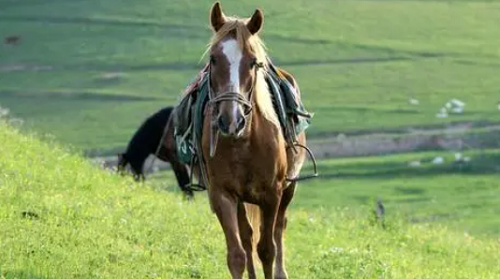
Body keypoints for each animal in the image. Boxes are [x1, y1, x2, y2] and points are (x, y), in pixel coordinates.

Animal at [196, 3, 308, 278]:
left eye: (252, 62)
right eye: (213, 59)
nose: (231, 120)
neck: (244, 143)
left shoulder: (271, 195)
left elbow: (267, 249)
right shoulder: (223, 194)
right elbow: (236, 254)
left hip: (289, 187)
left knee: (279, 228)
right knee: (246, 237)